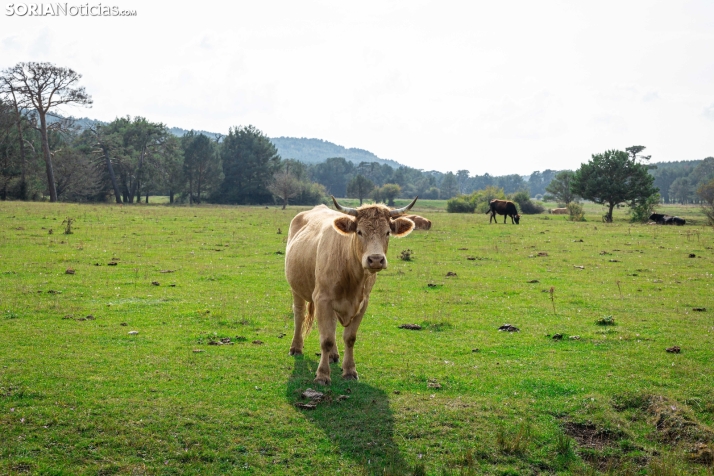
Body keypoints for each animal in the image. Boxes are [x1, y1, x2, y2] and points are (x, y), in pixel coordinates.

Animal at [282, 195, 418, 384]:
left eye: (387, 232)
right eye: (359, 232)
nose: (376, 259)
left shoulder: (362, 303)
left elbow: (349, 338)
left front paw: (349, 370)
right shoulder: (323, 299)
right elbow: (326, 339)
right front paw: (322, 375)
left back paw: (333, 355)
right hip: (296, 289)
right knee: (299, 315)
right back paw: (296, 347)